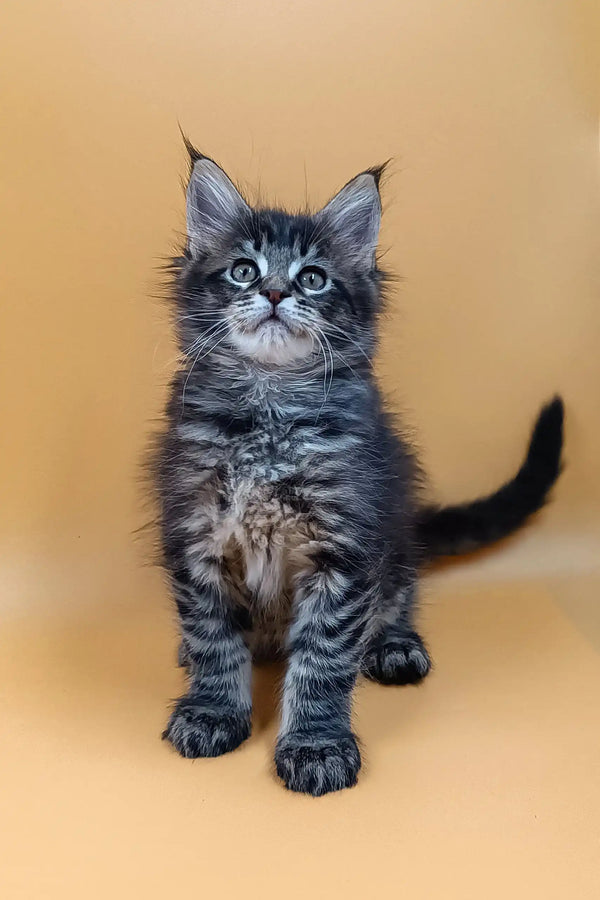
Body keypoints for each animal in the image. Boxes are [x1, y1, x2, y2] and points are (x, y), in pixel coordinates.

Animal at [155, 146, 564, 796]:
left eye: (313, 278)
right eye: (244, 270)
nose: (275, 292)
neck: (270, 415)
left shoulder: (346, 547)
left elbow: (323, 659)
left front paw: (316, 745)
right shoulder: (196, 536)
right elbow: (213, 638)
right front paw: (212, 710)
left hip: (394, 535)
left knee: (401, 593)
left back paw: (394, 646)